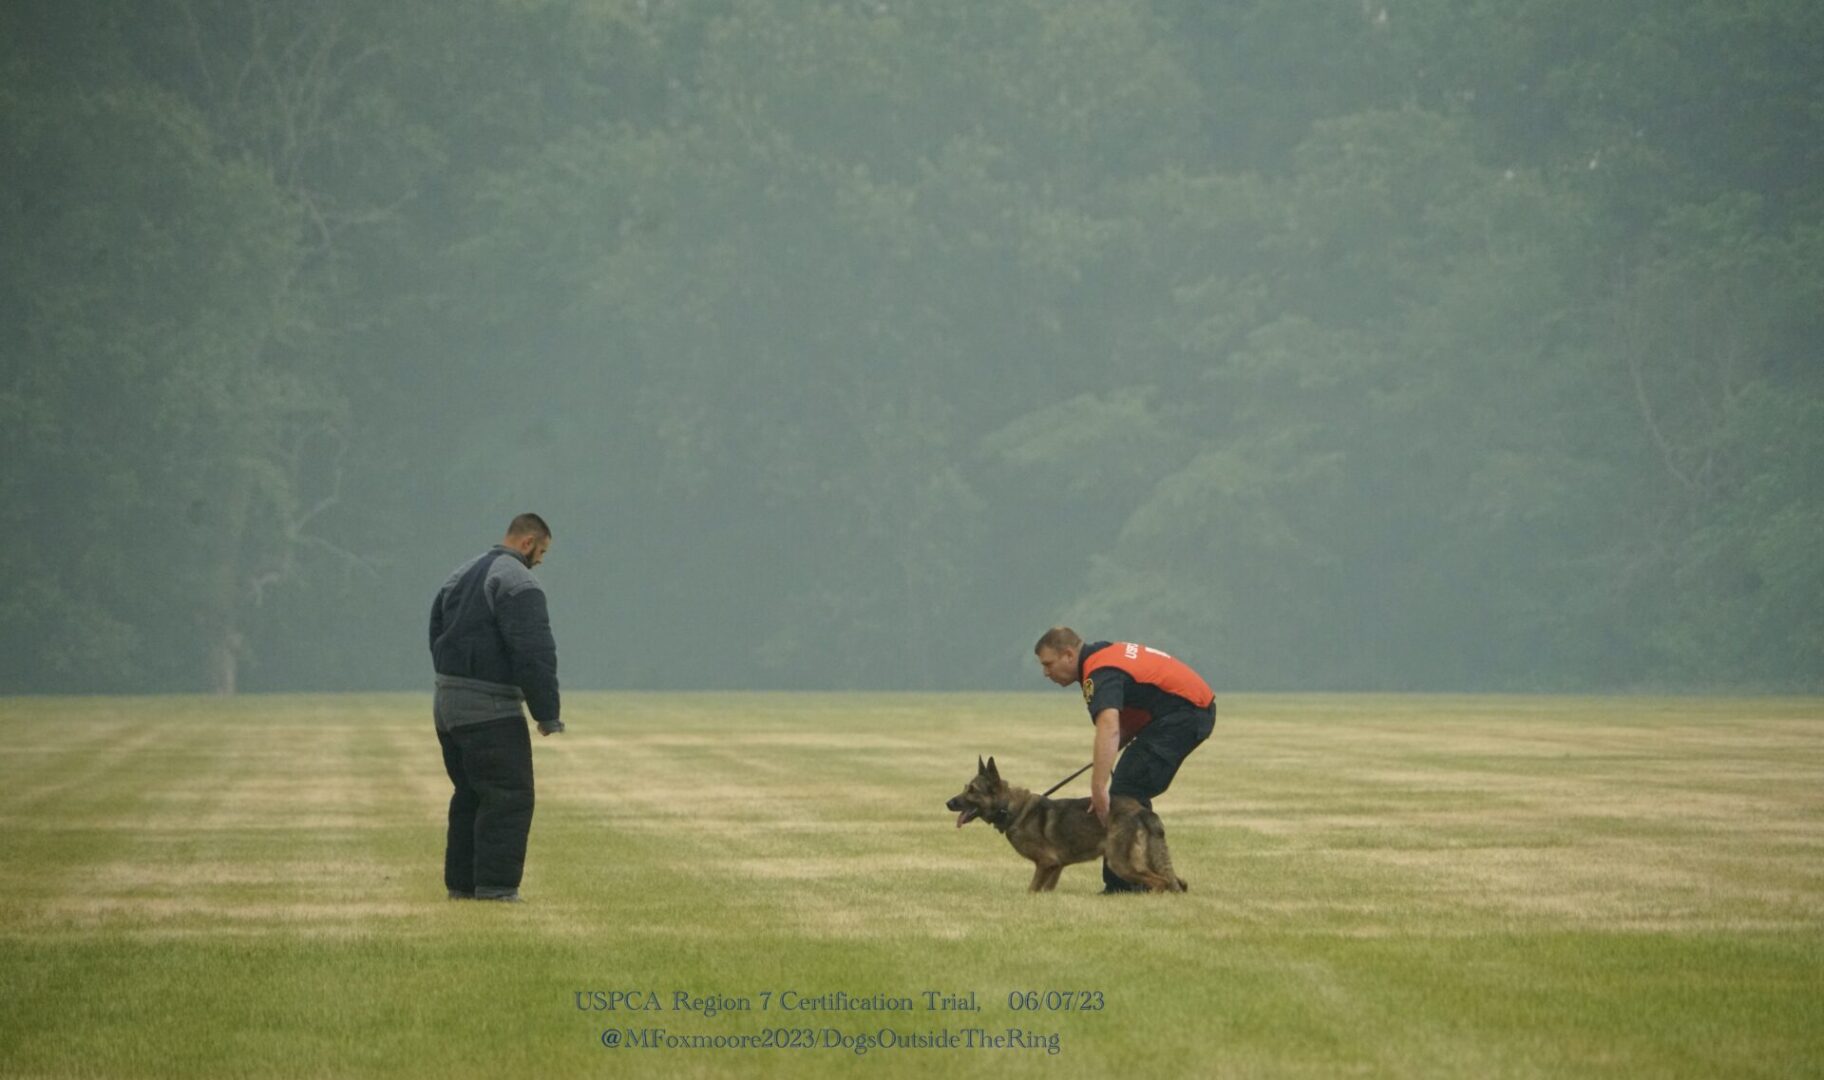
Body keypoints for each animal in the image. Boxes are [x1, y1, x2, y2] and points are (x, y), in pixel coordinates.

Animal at [948, 755, 1189, 890]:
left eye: (972, 791)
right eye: (965, 788)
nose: (947, 803)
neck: (1009, 808)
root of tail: (1141, 811)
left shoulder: (1045, 863)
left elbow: (1031, 889)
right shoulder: (1056, 867)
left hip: (1121, 863)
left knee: (1160, 882)